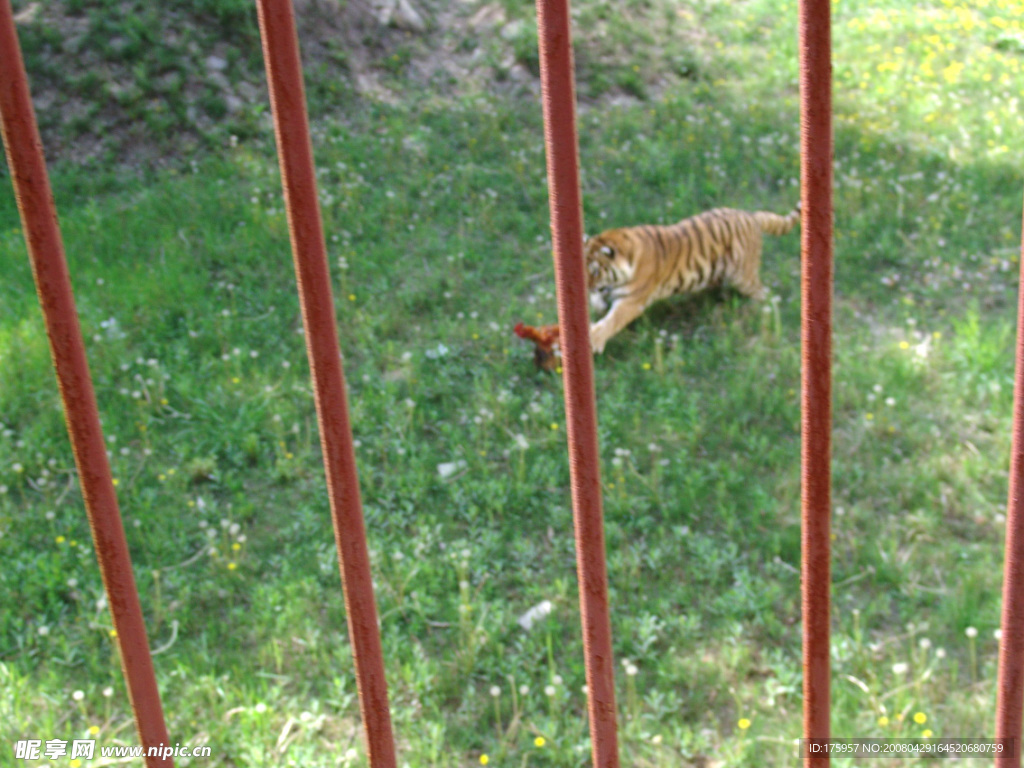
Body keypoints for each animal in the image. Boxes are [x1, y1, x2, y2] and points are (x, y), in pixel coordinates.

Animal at [585, 202, 800, 353]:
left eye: (595, 271)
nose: (586, 287)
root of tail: (751, 216)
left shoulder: (631, 301)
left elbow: (612, 321)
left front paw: (594, 339)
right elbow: (600, 303)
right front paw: (598, 307)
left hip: (743, 277)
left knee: (765, 293)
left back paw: (759, 308)